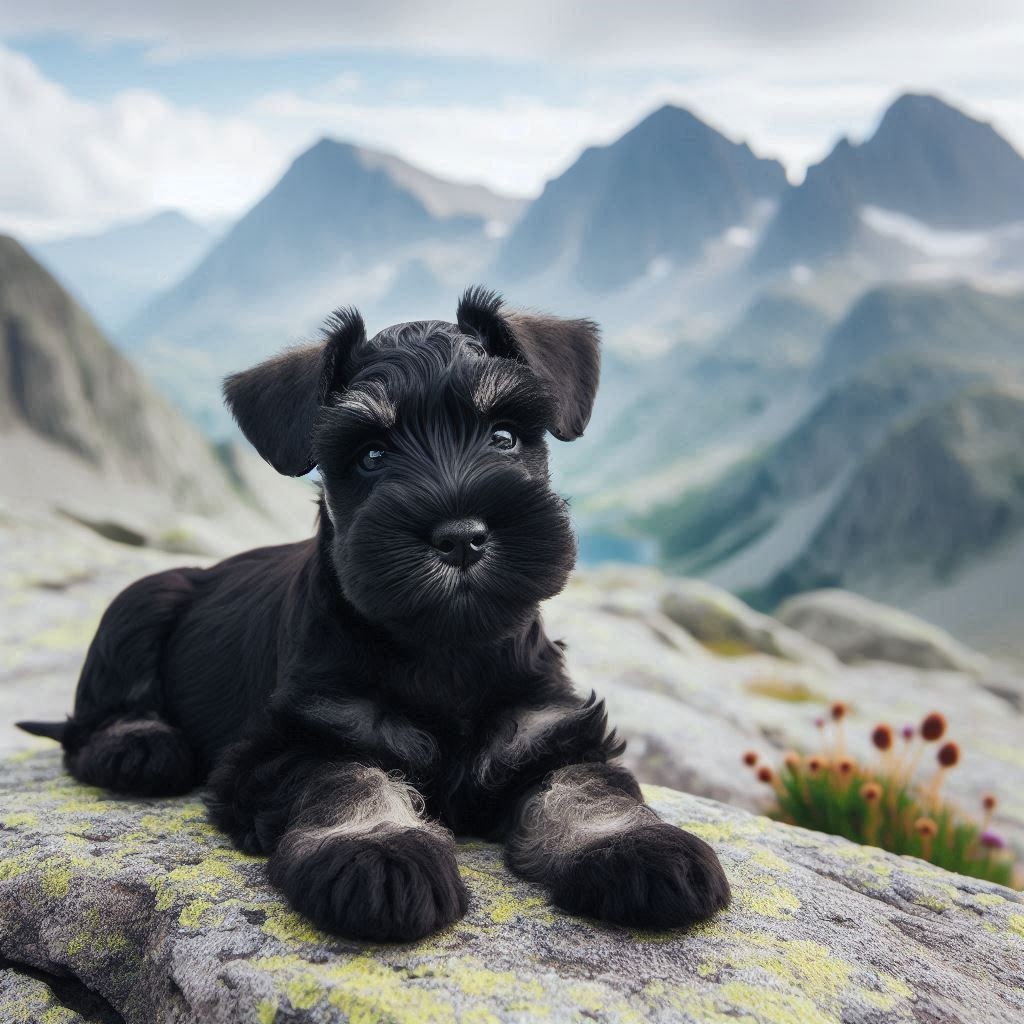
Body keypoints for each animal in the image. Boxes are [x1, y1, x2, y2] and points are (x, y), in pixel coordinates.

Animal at [19, 290, 733, 942]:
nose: (462, 538)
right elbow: (351, 778)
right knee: (90, 723)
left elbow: (588, 789)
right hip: (146, 597)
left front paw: (638, 850)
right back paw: (142, 746)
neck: (443, 649)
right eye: (370, 455)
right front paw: (380, 854)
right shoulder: (295, 742)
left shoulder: (550, 730)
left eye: (505, 435)